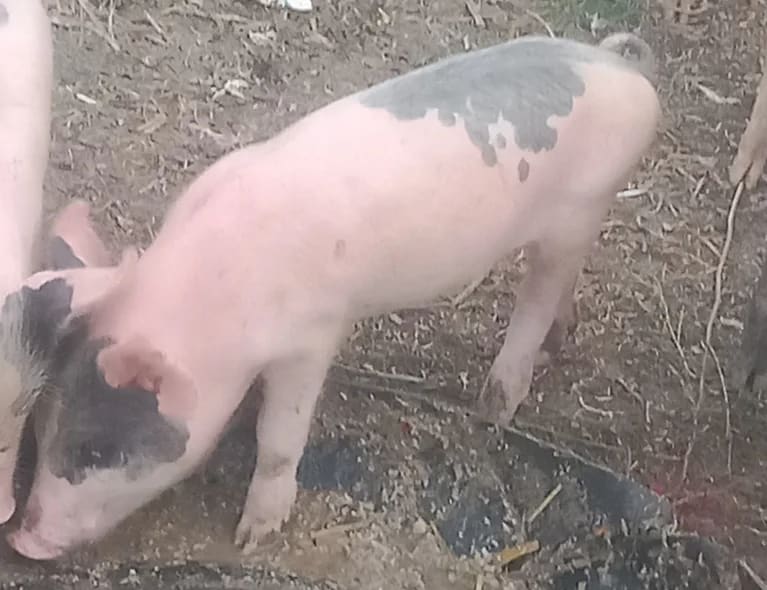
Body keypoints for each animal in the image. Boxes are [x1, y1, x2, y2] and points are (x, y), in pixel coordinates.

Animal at [7, 32, 661, 560]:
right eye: (42, 428)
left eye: (95, 450)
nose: (22, 540)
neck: (217, 308)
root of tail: (621, 65)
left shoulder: (312, 336)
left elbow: (280, 436)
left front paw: (252, 537)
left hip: (582, 205)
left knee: (540, 293)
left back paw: (494, 406)